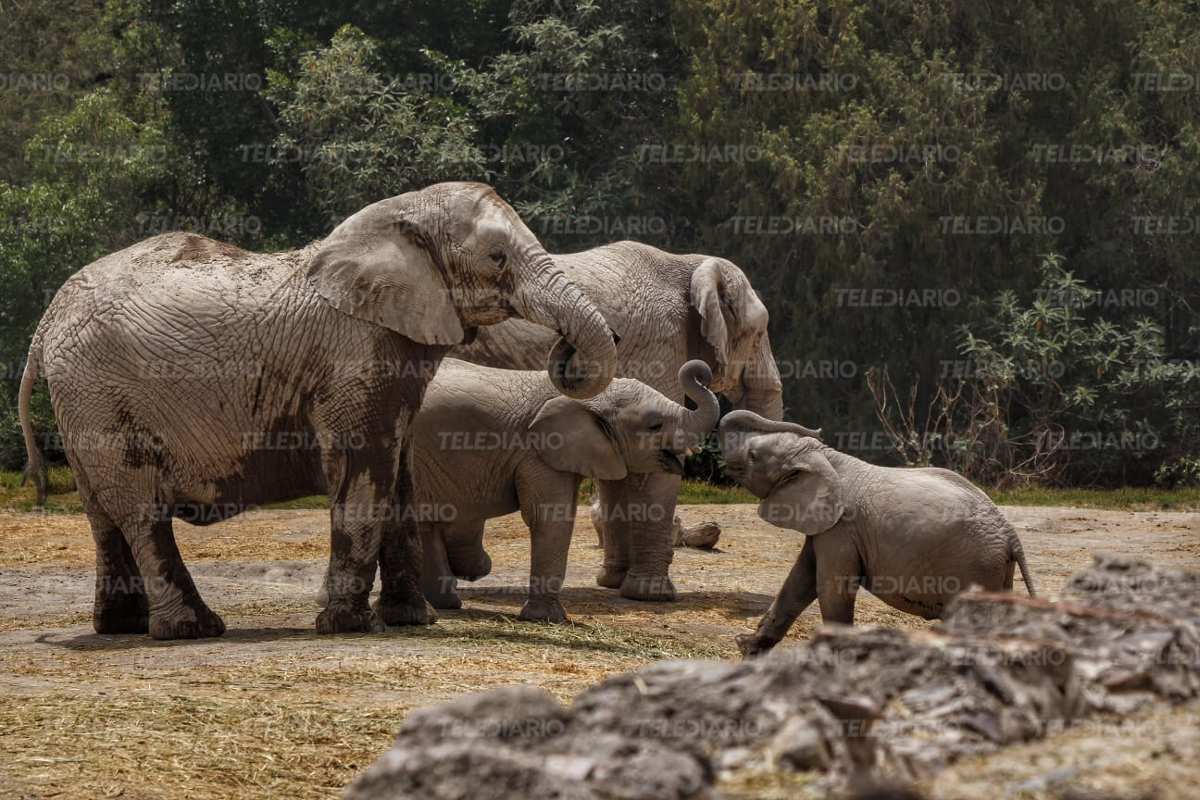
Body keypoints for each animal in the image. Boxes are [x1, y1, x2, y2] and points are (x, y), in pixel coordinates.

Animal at [17, 181, 617, 640]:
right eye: (498, 258)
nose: (568, 350)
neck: (403, 217)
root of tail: (46, 323)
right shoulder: (353, 353)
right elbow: (364, 469)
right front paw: (350, 626)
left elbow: (399, 477)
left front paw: (410, 620)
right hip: (98, 391)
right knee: (140, 510)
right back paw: (191, 629)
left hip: (83, 402)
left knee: (102, 513)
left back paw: (122, 627)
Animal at [408, 358, 719, 622]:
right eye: (655, 425)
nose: (702, 371)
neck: (592, 397)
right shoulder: (536, 453)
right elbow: (550, 519)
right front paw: (546, 619)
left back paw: (446, 603)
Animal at [717, 411, 1036, 657]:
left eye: (753, 456)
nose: (817, 428)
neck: (825, 457)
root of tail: (1011, 534)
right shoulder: (825, 526)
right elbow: (800, 581)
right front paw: (748, 649)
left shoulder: (842, 529)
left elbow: (831, 589)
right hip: (994, 570)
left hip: (976, 567)